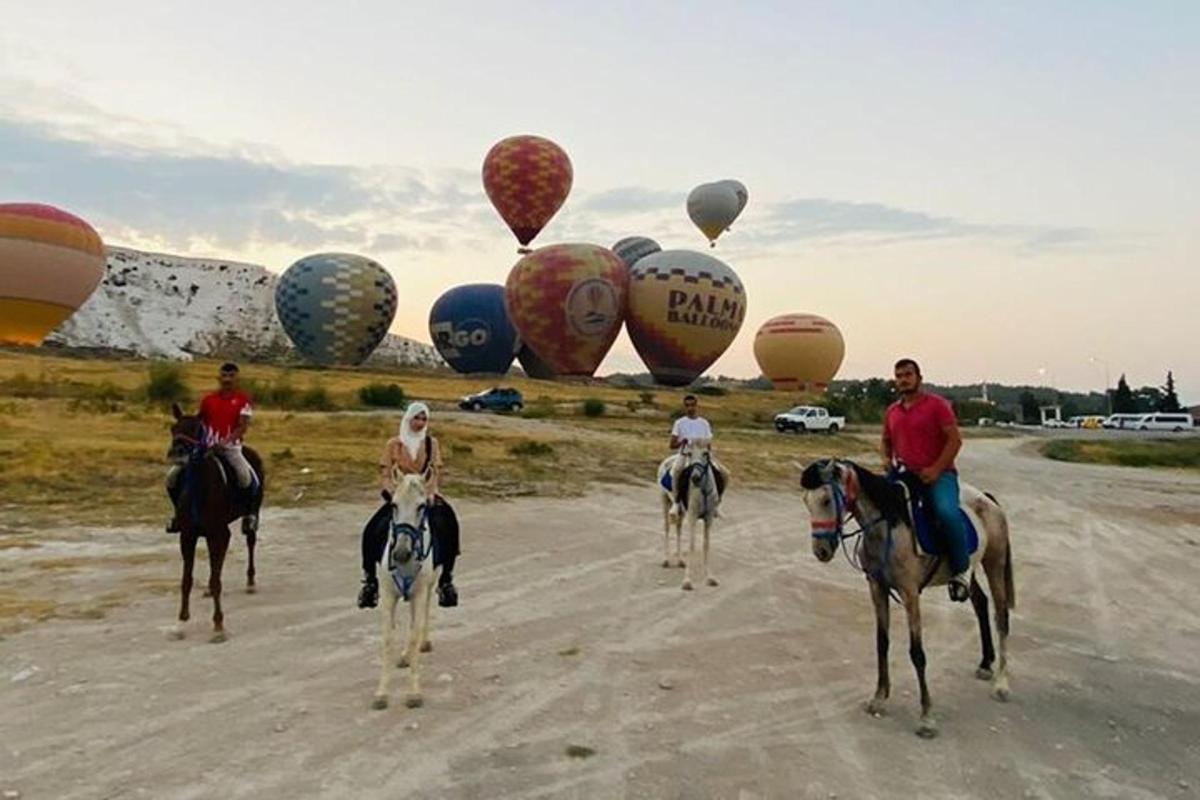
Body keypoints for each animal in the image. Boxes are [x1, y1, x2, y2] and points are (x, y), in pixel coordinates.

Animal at [165, 402, 264, 642]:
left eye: (196, 429)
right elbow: (187, 580)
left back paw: (250, 581)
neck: (200, 488)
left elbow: (216, 579)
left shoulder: (219, 534)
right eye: (173, 428)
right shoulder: (187, 536)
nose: (177, 453)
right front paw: (181, 623)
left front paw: (218, 624)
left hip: (251, 514)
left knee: (250, 541)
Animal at [372, 472, 444, 710]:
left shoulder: (419, 593)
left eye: (421, 506)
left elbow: (413, 636)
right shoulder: (387, 595)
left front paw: (414, 693)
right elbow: (387, 639)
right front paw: (381, 693)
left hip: (429, 586)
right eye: (394, 504)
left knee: (423, 616)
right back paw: (404, 656)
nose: (401, 553)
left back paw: (423, 643)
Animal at [657, 441, 720, 592]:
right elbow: (692, 546)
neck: (703, 491)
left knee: (678, 529)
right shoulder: (692, 517)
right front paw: (687, 582)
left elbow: (706, 545)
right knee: (667, 528)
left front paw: (709, 578)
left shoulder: (708, 519)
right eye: (689, 453)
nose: (695, 478)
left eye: (706, 453)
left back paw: (680, 561)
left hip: (682, 512)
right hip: (664, 502)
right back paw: (666, 560)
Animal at [796, 455, 1012, 738]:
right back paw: (986, 663)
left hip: (994, 563)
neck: (888, 525)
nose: (820, 550)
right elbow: (882, 642)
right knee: (980, 603)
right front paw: (879, 698)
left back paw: (1002, 684)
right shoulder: (877, 588)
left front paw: (926, 717)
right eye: (806, 502)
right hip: (970, 569)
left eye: (825, 500)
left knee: (1001, 617)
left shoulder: (910, 593)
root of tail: (988, 500)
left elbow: (917, 653)